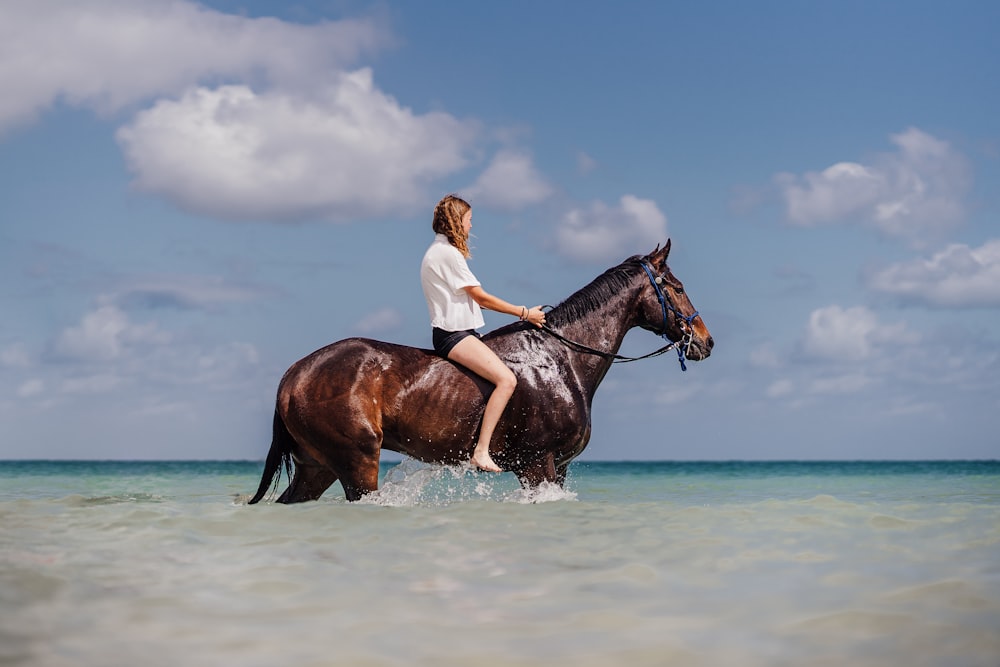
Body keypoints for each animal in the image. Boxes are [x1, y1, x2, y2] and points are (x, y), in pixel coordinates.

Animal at [249, 241, 712, 506]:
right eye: (676, 287)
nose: (705, 342)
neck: (563, 358)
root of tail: (295, 374)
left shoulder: (557, 468)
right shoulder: (537, 465)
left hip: (316, 466)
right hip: (356, 464)